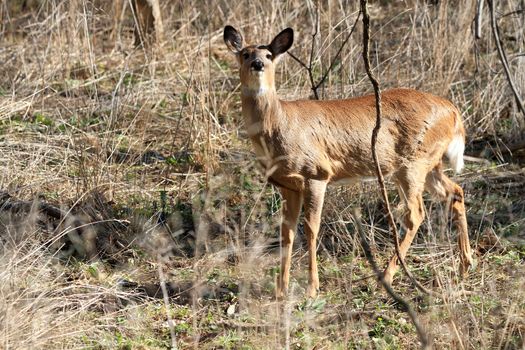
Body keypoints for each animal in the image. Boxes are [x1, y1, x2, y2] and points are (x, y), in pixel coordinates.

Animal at [222, 25, 474, 298]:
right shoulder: (287, 184)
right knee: (455, 192)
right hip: (427, 164)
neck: (279, 125)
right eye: (245, 53)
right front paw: (281, 290)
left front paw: (311, 287)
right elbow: (286, 232)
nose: (257, 63)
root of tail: (453, 112)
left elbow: (311, 228)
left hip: (412, 163)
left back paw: (386, 277)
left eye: (269, 55)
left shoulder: (317, 173)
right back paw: (465, 266)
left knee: (416, 214)